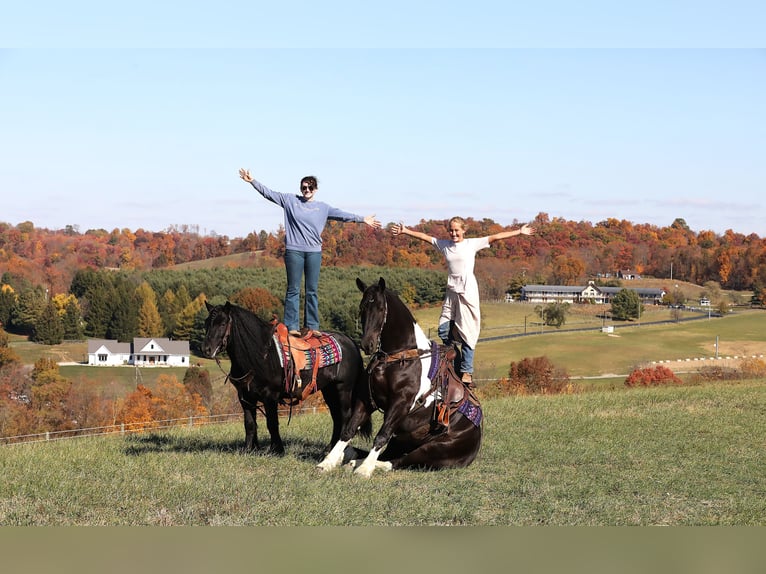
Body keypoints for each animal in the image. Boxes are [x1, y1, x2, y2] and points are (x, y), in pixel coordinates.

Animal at [202, 302, 370, 460]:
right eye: (206, 323)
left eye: (223, 323)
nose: (207, 349)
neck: (260, 355)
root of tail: (350, 342)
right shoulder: (245, 397)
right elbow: (249, 423)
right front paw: (249, 449)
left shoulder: (270, 396)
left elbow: (272, 423)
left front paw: (277, 450)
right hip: (329, 390)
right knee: (336, 417)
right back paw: (330, 449)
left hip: (343, 389)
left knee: (345, 416)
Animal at [320, 280, 486, 476]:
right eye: (362, 308)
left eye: (381, 308)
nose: (367, 344)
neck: (400, 356)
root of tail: (476, 437)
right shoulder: (366, 400)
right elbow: (348, 430)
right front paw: (328, 462)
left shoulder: (400, 404)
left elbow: (381, 436)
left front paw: (365, 470)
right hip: (401, 439)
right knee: (389, 455)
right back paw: (351, 459)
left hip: (432, 449)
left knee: (396, 462)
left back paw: (361, 464)